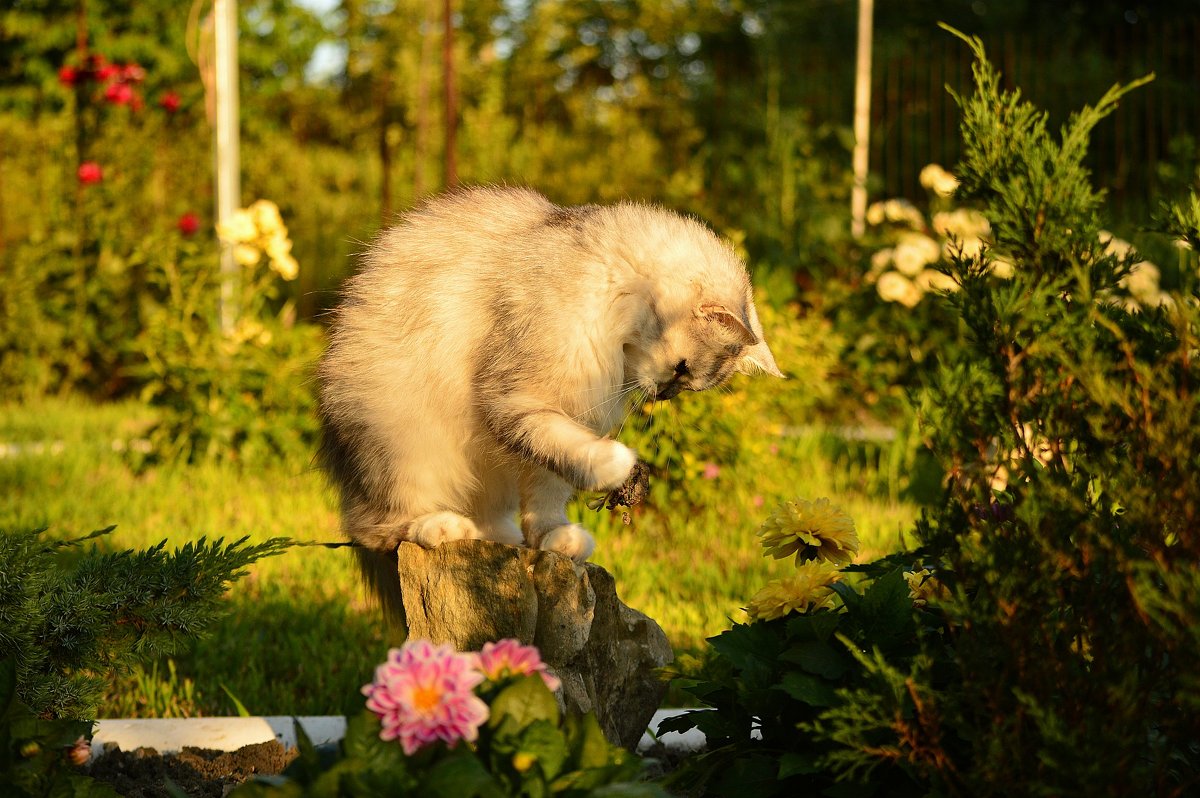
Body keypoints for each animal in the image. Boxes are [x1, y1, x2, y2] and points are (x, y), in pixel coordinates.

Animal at [316, 187, 787, 609]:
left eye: (688, 385)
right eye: (683, 370)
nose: (665, 394)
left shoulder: (563, 418)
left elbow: (548, 494)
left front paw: (555, 540)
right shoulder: (518, 399)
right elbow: (580, 454)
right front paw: (620, 466)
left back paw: (497, 535)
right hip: (404, 447)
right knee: (376, 528)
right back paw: (441, 527)